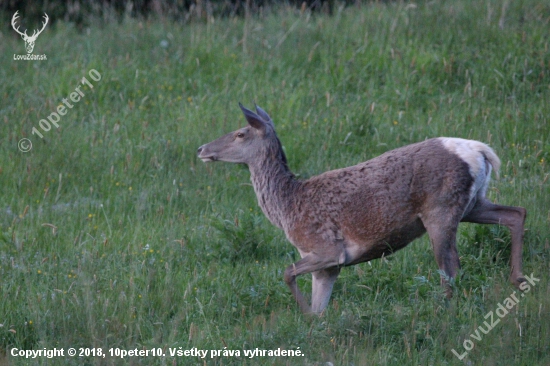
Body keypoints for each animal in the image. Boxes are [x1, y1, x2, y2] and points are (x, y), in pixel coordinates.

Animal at [197, 103, 528, 314]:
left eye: (240, 133)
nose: (201, 149)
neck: (287, 207)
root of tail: (481, 151)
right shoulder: (327, 266)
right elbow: (319, 306)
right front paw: (315, 325)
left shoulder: (328, 249)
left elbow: (287, 272)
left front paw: (304, 316)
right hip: (473, 203)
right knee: (516, 213)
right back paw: (518, 280)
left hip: (441, 208)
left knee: (451, 266)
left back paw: (445, 309)